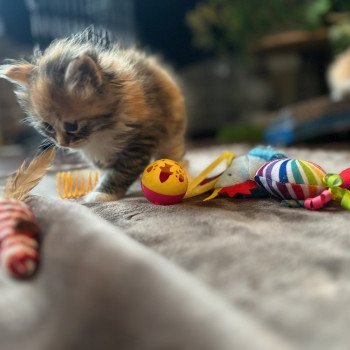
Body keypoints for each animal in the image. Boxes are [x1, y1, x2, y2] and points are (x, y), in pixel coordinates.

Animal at [0, 27, 187, 202]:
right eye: (48, 126)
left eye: (71, 126)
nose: (62, 144)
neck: (100, 132)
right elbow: (106, 168)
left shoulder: (139, 143)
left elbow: (120, 172)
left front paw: (102, 193)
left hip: (171, 129)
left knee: (171, 150)